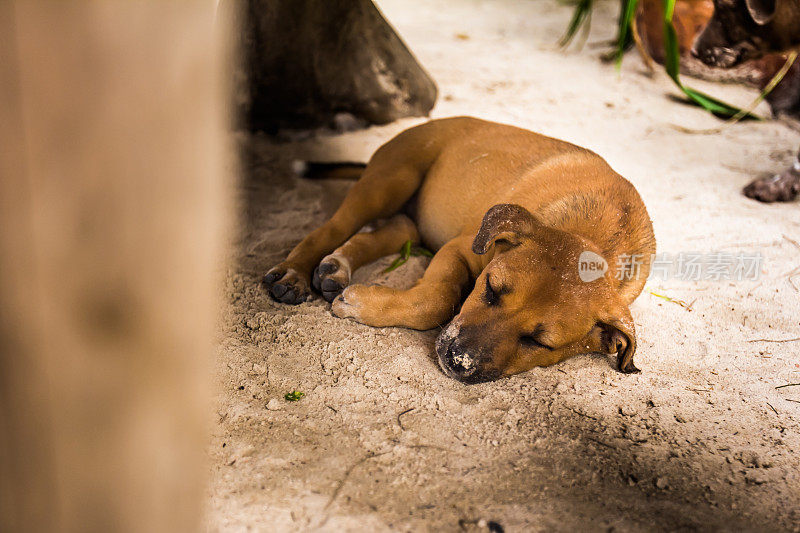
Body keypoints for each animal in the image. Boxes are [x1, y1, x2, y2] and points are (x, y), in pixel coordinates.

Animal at [264, 117, 656, 382]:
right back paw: (294, 274)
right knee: (332, 228)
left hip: (410, 222)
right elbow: (436, 299)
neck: (600, 237)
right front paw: (358, 303)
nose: (457, 360)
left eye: (539, 342)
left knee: (382, 234)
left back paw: (336, 267)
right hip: (389, 181)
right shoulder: (461, 249)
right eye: (491, 290)